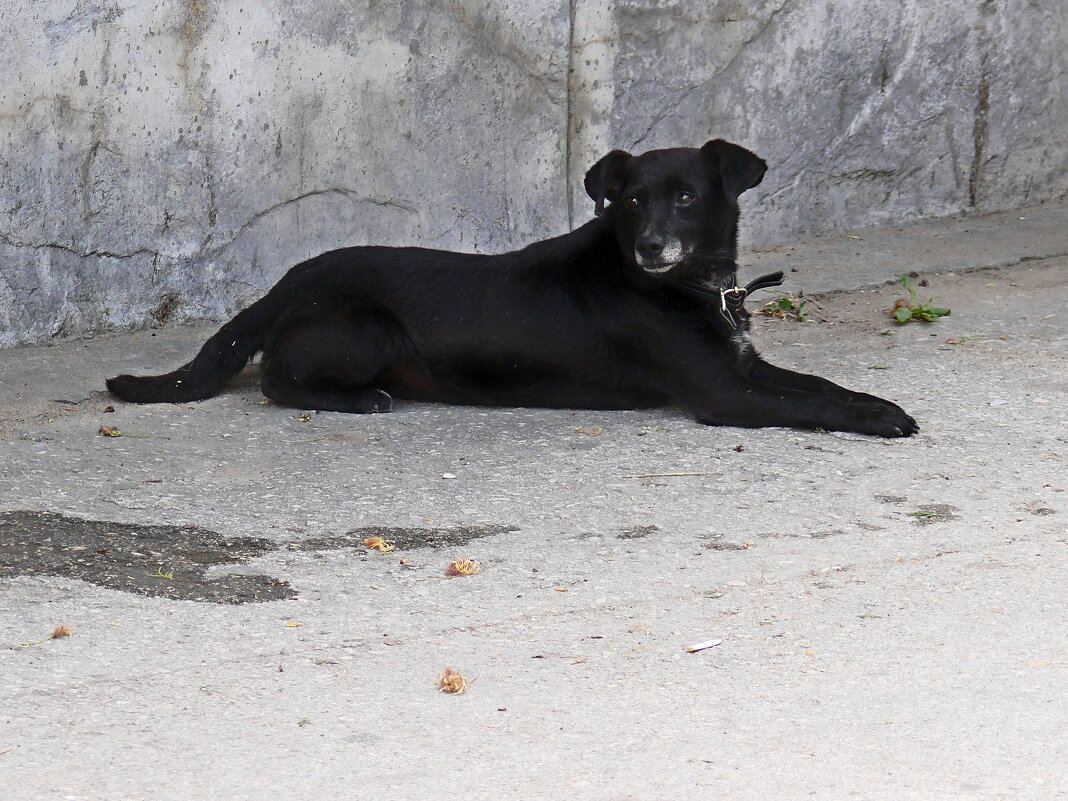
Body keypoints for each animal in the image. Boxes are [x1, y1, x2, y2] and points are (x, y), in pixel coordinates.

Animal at [108, 139, 918, 440]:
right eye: (632, 202)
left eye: (687, 198)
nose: (652, 245)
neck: (688, 287)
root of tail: (287, 281)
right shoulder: (725, 393)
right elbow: (810, 404)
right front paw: (880, 420)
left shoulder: (743, 365)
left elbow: (819, 384)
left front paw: (879, 402)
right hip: (368, 326)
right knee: (277, 378)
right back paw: (359, 399)